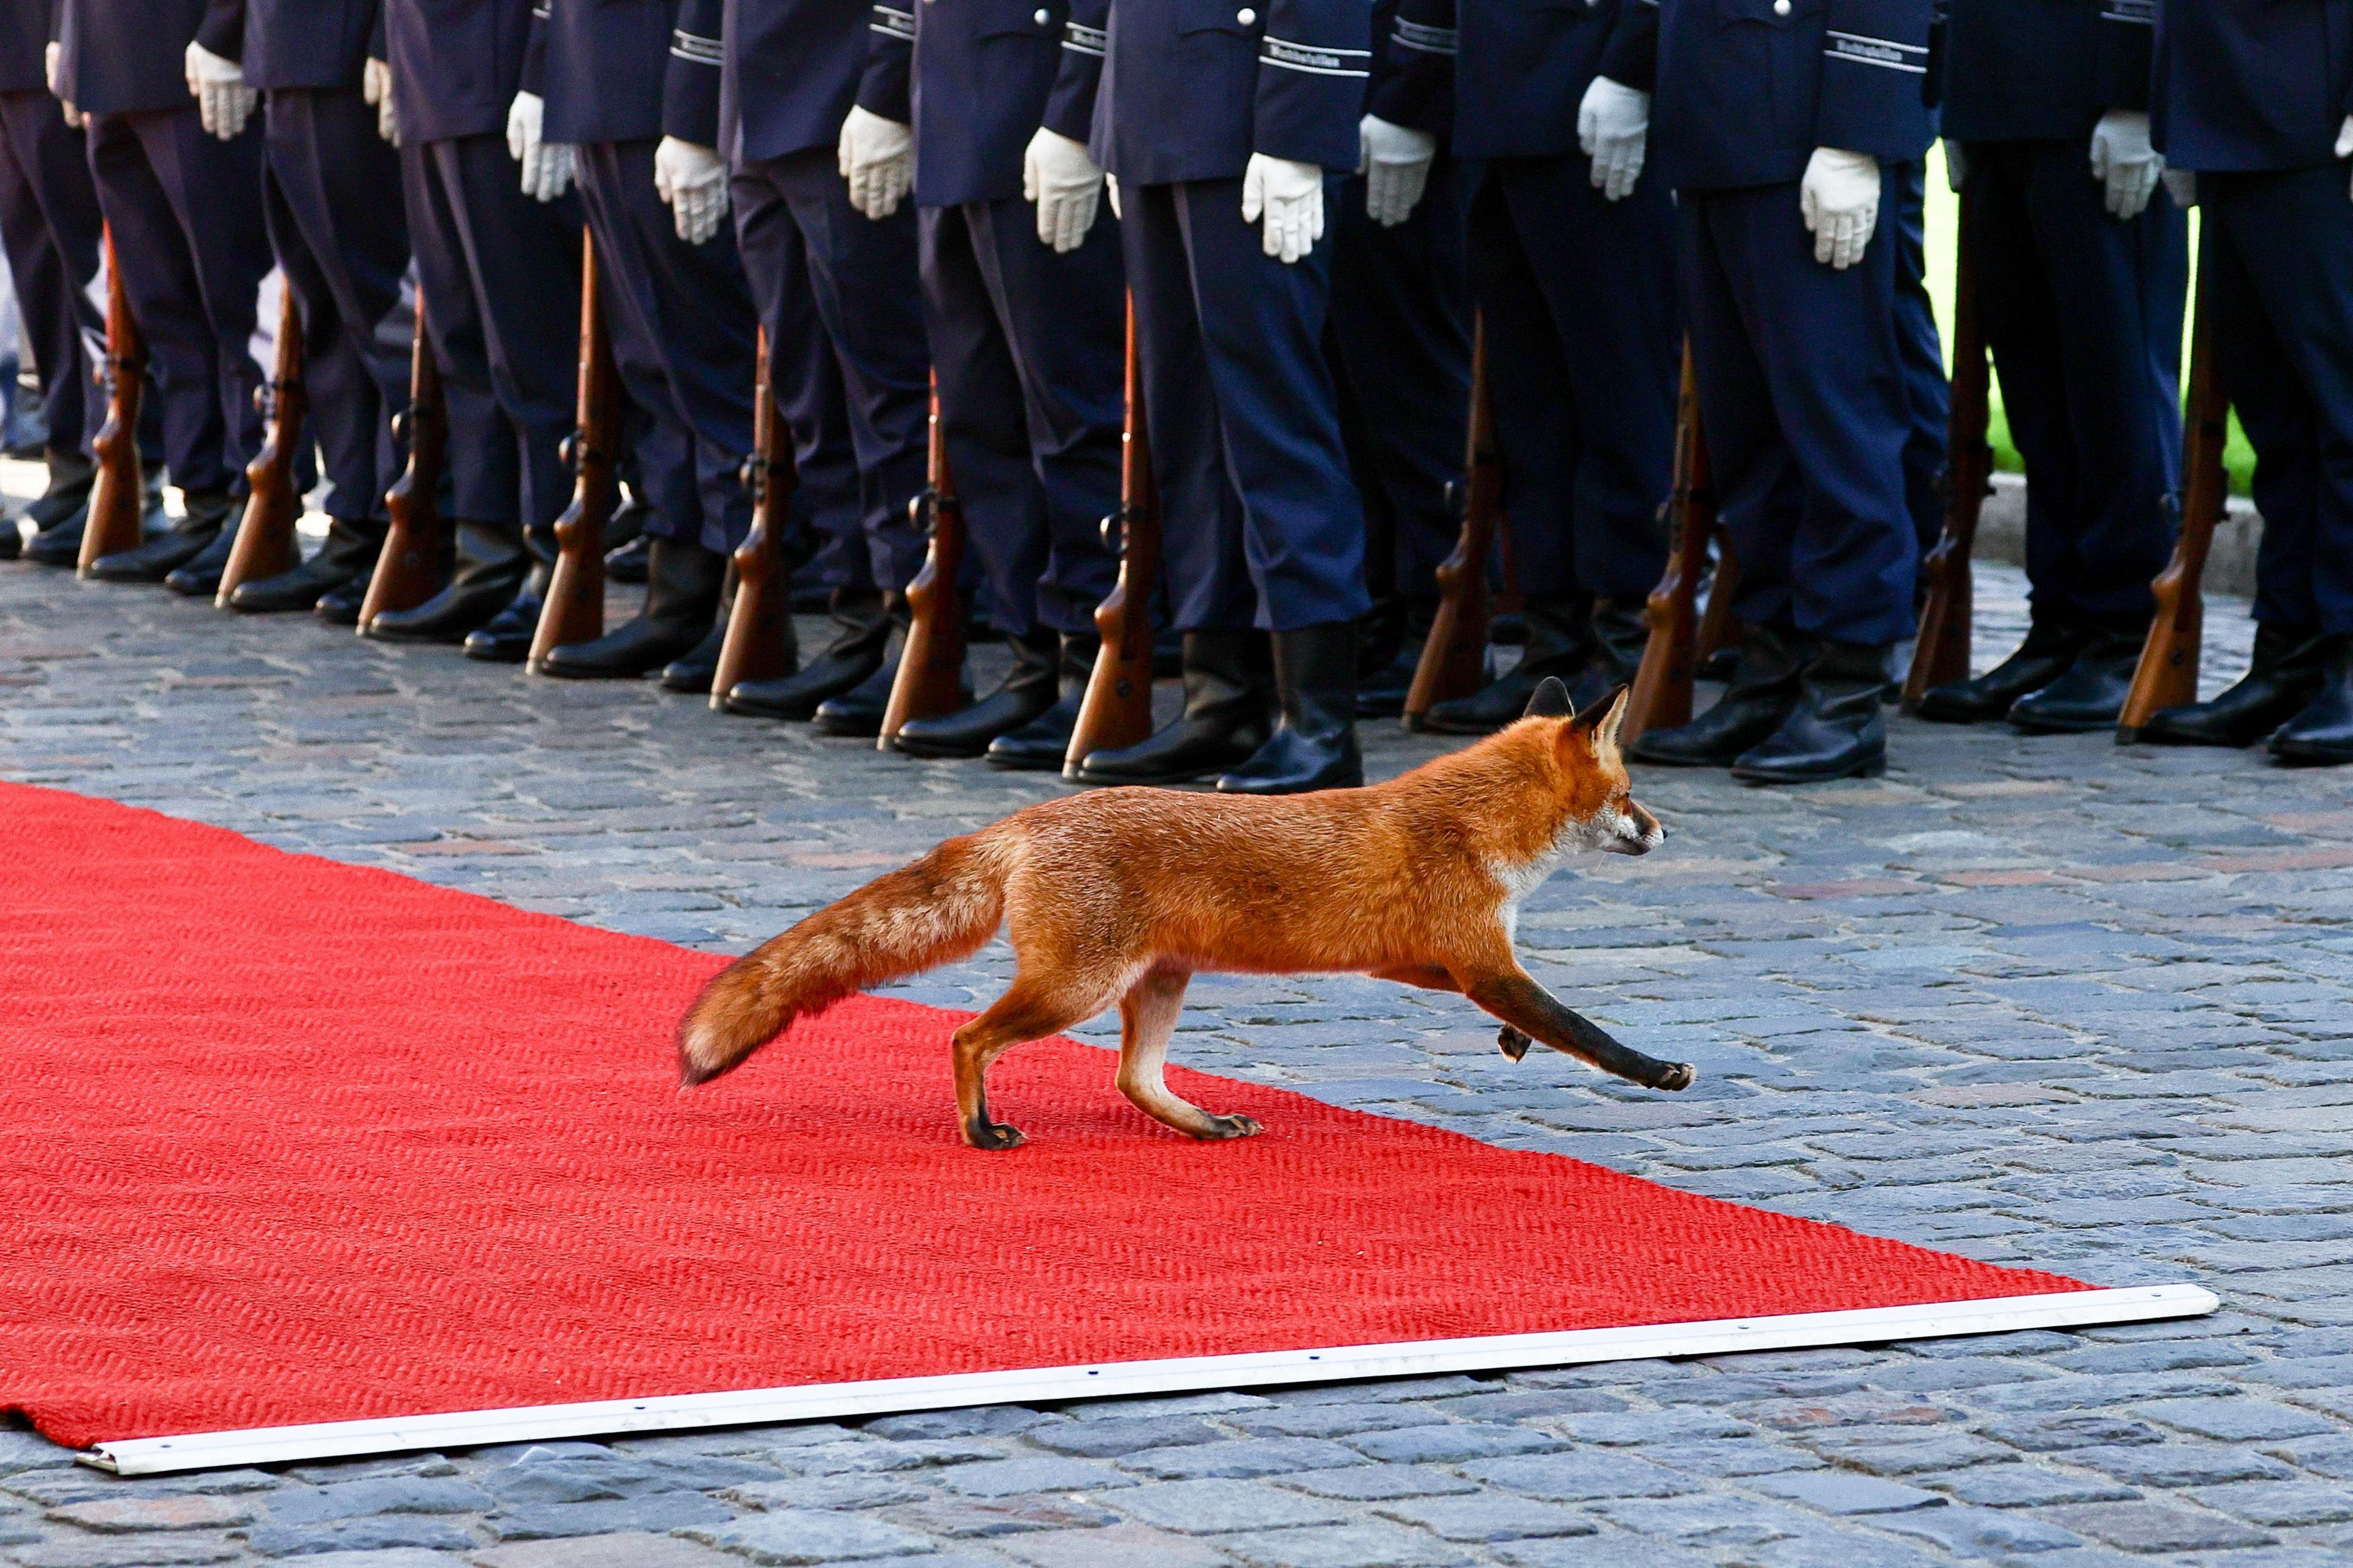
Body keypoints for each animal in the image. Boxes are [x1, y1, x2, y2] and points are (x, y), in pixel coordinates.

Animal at [682, 678, 1694, 1144]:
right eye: (1628, 793)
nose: (1665, 827)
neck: (1479, 825)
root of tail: (1023, 820)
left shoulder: (1431, 958)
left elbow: (1535, 1014)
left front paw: (1515, 1043)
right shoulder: (1478, 956)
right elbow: (1586, 1029)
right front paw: (1655, 1070)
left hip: (1158, 982)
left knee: (1133, 1080)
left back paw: (1203, 1123)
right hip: (1078, 989)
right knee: (970, 1037)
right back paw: (979, 1128)